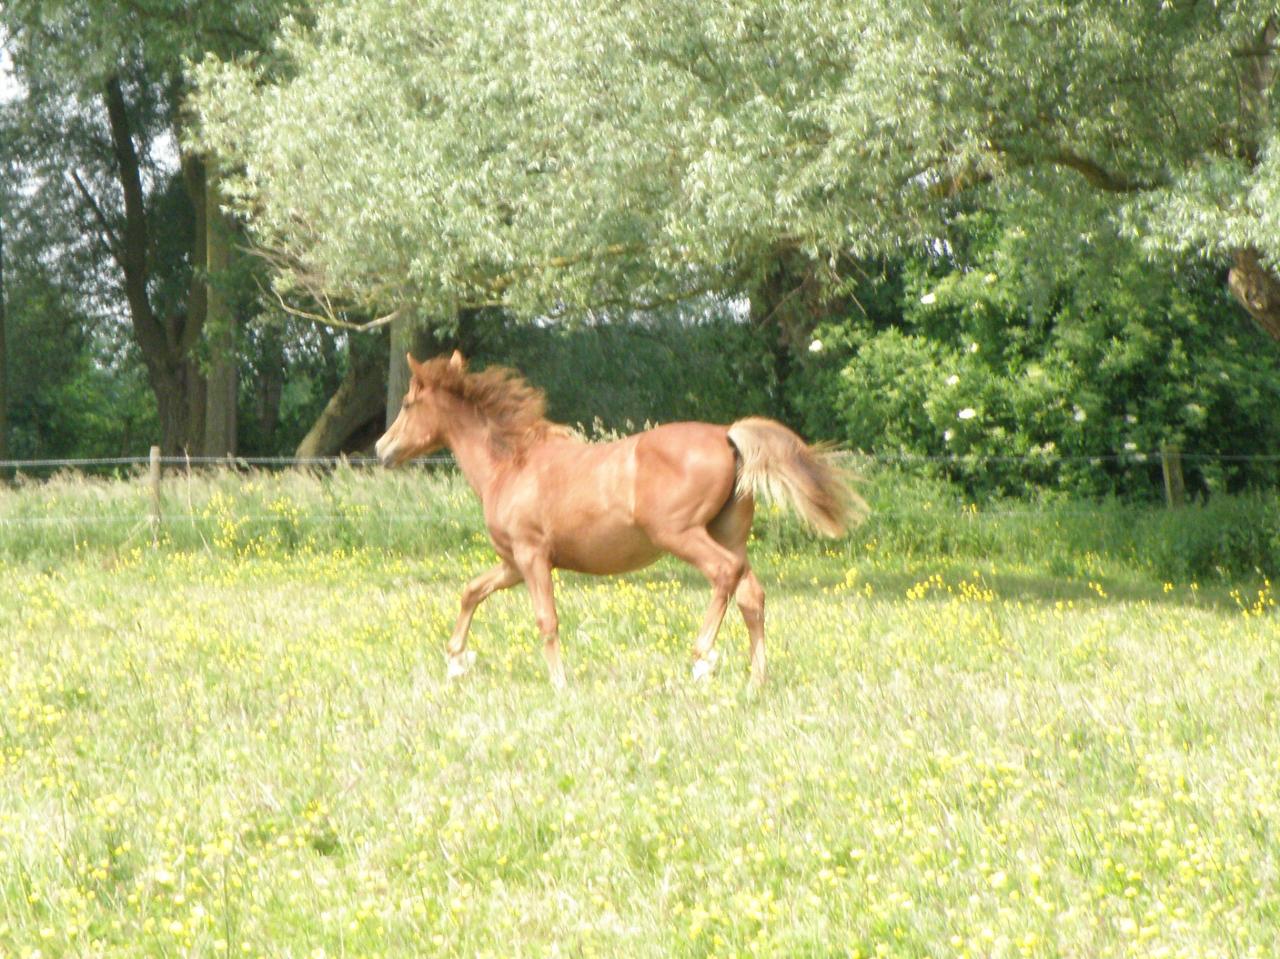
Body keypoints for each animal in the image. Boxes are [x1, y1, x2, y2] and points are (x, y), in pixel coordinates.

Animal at [376, 350, 860, 686]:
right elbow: (471, 592)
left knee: (725, 574)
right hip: (729, 534)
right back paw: (756, 679)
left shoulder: (532, 556)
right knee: (751, 596)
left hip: (680, 535)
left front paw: (559, 683)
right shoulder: (513, 563)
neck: (511, 465)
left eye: (407, 403)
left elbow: (546, 620)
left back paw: (702, 658)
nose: (382, 449)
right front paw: (456, 660)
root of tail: (728, 436)